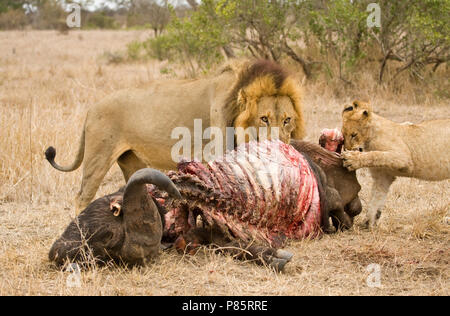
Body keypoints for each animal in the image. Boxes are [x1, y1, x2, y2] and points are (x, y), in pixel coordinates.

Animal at [45, 60, 306, 214]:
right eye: (263, 119)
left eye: (287, 119)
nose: (280, 146)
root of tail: (91, 109)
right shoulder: (215, 154)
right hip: (98, 158)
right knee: (81, 197)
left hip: (131, 161)